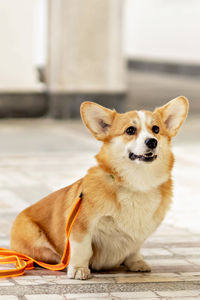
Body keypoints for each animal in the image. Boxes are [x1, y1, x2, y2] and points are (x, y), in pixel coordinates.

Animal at [10, 96, 189, 278]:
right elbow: (82, 249)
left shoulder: (138, 233)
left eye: (156, 129)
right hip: (36, 239)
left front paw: (136, 263)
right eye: (130, 130)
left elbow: (134, 249)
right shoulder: (82, 226)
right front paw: (79, 269)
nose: (152, 142)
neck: (138, 184)